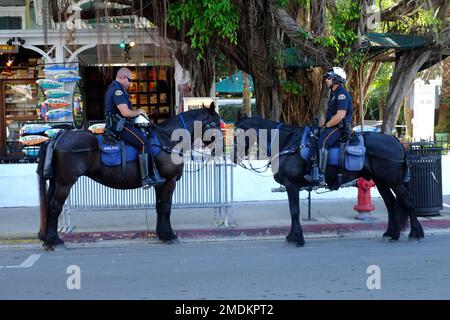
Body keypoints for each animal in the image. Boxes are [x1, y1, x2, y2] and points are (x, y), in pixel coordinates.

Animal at [37, 104, 221, 249]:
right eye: (215, 123)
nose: (218, 148)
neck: (167, 139)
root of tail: (58, 136)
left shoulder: (160, 183)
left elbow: (159, 207)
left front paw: (162, 233)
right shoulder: (169, 181)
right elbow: (166, 207)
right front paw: (169, 235)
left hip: (55, 182)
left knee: (49, 205)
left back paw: (48, 239)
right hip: (65, 183)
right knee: (55, 206)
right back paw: (56, 241)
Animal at [234, 116, 424, 246]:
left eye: (237, 134)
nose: (234, 157)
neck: (287, 143)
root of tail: (396, 141)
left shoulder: (291, 185)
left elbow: (294, 211)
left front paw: (297, 238)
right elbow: (293, 211)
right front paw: (292, 236)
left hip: (394, 181)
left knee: (408, 201)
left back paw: (416, 233)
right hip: (381, 181)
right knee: (391, 204)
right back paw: (391, 234)